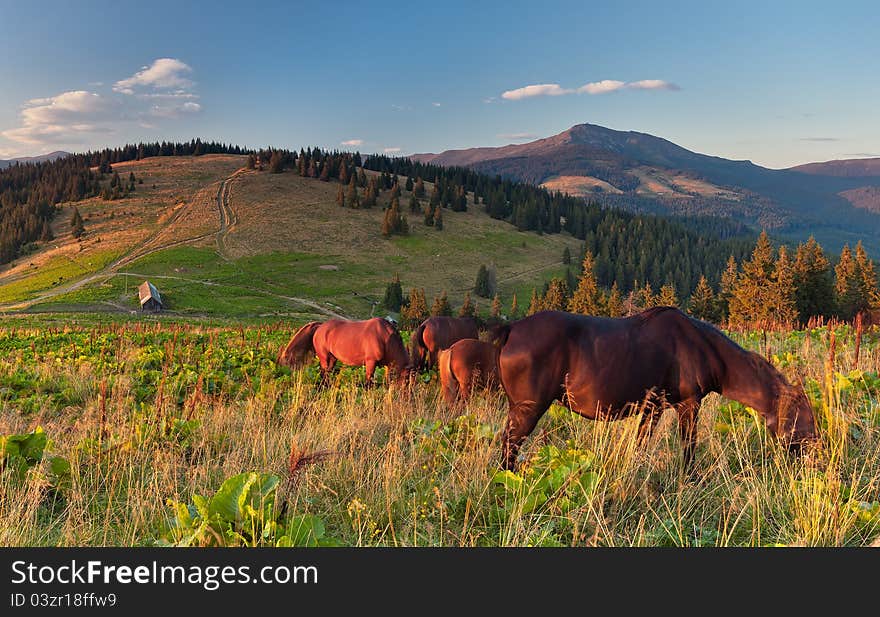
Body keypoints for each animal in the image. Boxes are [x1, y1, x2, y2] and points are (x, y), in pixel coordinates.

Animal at [276, 318, 410, 384]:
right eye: (407, 381)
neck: (385, 337)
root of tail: (320, 327)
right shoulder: (371, 363)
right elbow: (368, 383)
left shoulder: (387, 365)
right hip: (324, 357)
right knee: (324, 373)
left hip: (332, 359)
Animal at [496, 306, 820, 470]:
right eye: (804, 416)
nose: (819, 453)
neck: (703, 347)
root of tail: (512, 329)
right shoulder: (688, 404)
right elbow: (689, 447)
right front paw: (689, 480)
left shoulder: (653, 408)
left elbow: (640, 446)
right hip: (528, 410)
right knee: (508, 448)